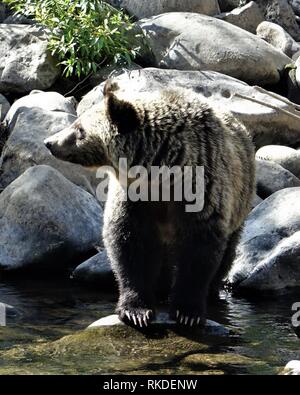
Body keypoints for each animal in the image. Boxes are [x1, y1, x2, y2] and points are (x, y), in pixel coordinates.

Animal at [44, 79, 255, 328]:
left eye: (79, 129)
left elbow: (199, 249)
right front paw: (136, 311)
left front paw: (188, 312)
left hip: (240, 202)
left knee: (227, 252)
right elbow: (129, 244)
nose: (49, 142)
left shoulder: (202, 191)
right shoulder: (134, 198)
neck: (162, 175)